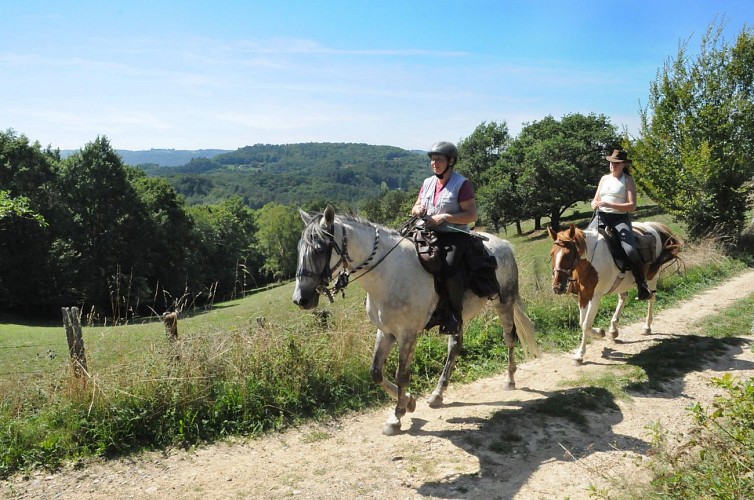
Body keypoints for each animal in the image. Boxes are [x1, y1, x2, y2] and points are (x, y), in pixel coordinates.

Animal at [548, 223, 680, 364]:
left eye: (568, 255)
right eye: (552, 254)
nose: (557, 288)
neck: (591, 260)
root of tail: (653, 225)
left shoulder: (595, 296)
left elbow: (586, 325)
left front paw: (580, 355)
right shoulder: (583, 295)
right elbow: (582, 323)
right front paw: (600, 332)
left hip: (652, 276)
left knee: (651, 298)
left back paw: (647, 327)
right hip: (623, 284)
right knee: (623, 298)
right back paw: (613, 330)